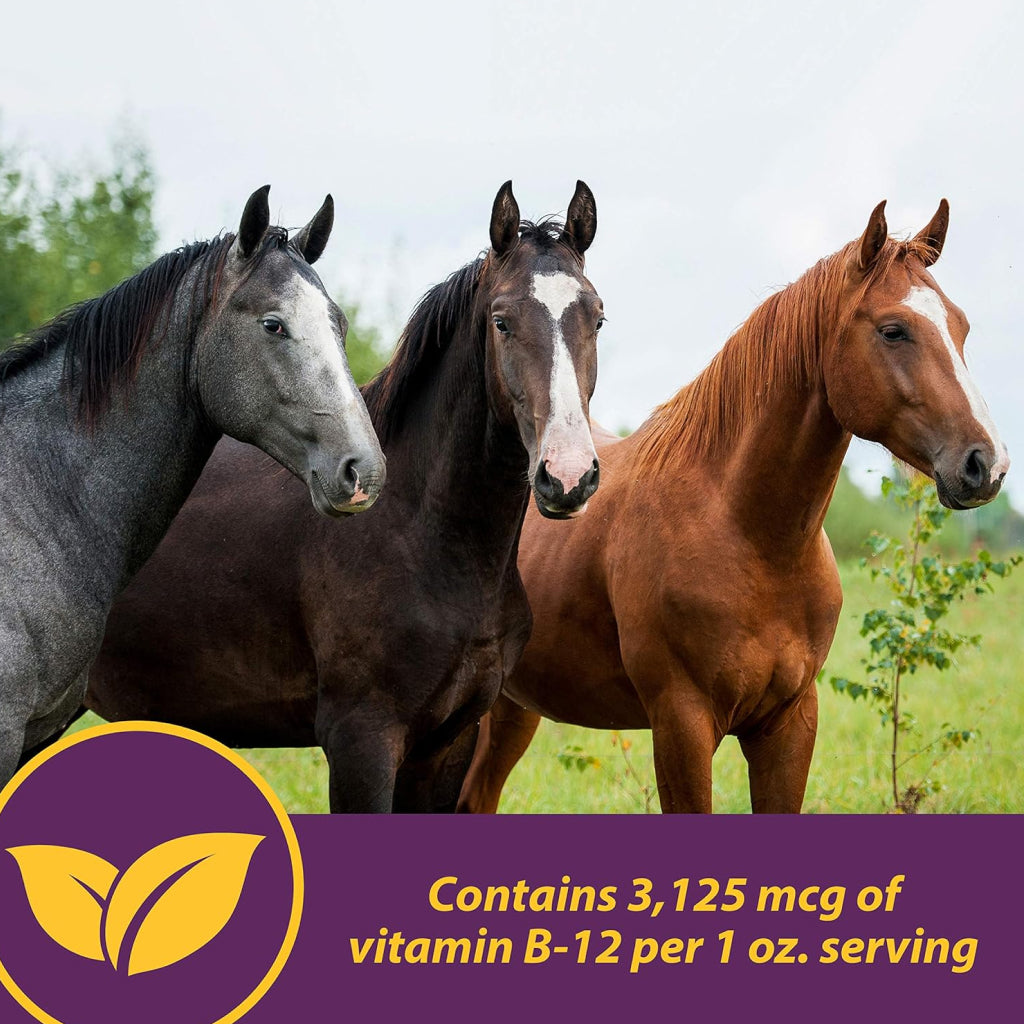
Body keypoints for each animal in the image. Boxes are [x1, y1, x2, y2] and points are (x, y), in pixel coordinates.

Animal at [85, 181, 604, 812]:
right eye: (502, 322)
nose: (568, 475)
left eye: (598, 318)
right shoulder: (363, 740)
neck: (423, 532)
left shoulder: (447, 746)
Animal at [457, 199, 1010, 814]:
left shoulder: (789, 724)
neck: (750, 538)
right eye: (894, 331)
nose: (986, 463)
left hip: (511, 709)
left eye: (961, 326)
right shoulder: (683, 724)